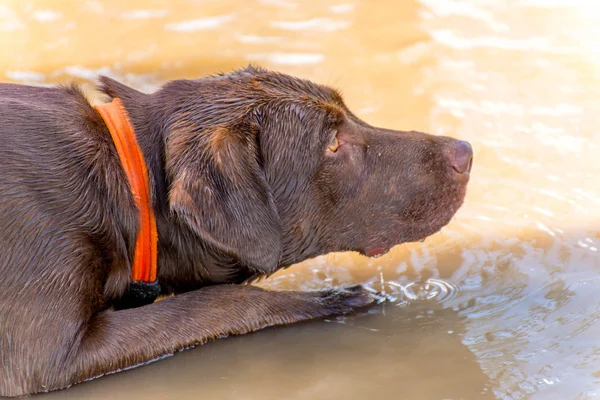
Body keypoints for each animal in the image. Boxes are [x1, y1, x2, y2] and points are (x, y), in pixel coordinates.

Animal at [0, 66, 472, 396]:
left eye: (349, 113)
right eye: (333, 144)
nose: (466, 152)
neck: (128, 185)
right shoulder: (44, 356)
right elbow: (216, 301)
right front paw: (330, 299)